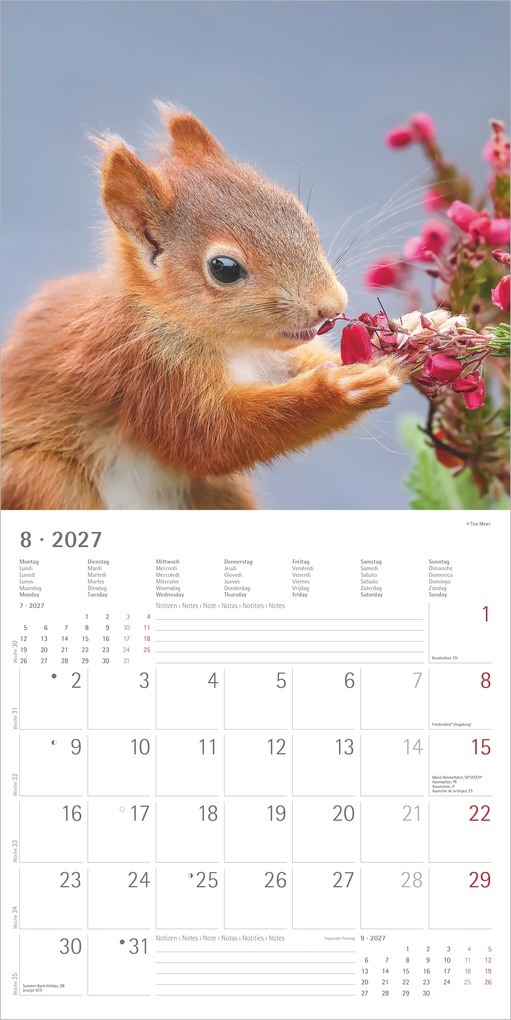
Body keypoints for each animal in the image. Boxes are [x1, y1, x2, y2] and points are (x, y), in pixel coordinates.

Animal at [1, 104, 408, 510]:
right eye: (224, 268)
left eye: (299, 214)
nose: (332, 306)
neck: (233, 346)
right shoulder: (146, 371)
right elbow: (212, 438)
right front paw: (343, 386)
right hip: (43, 479)